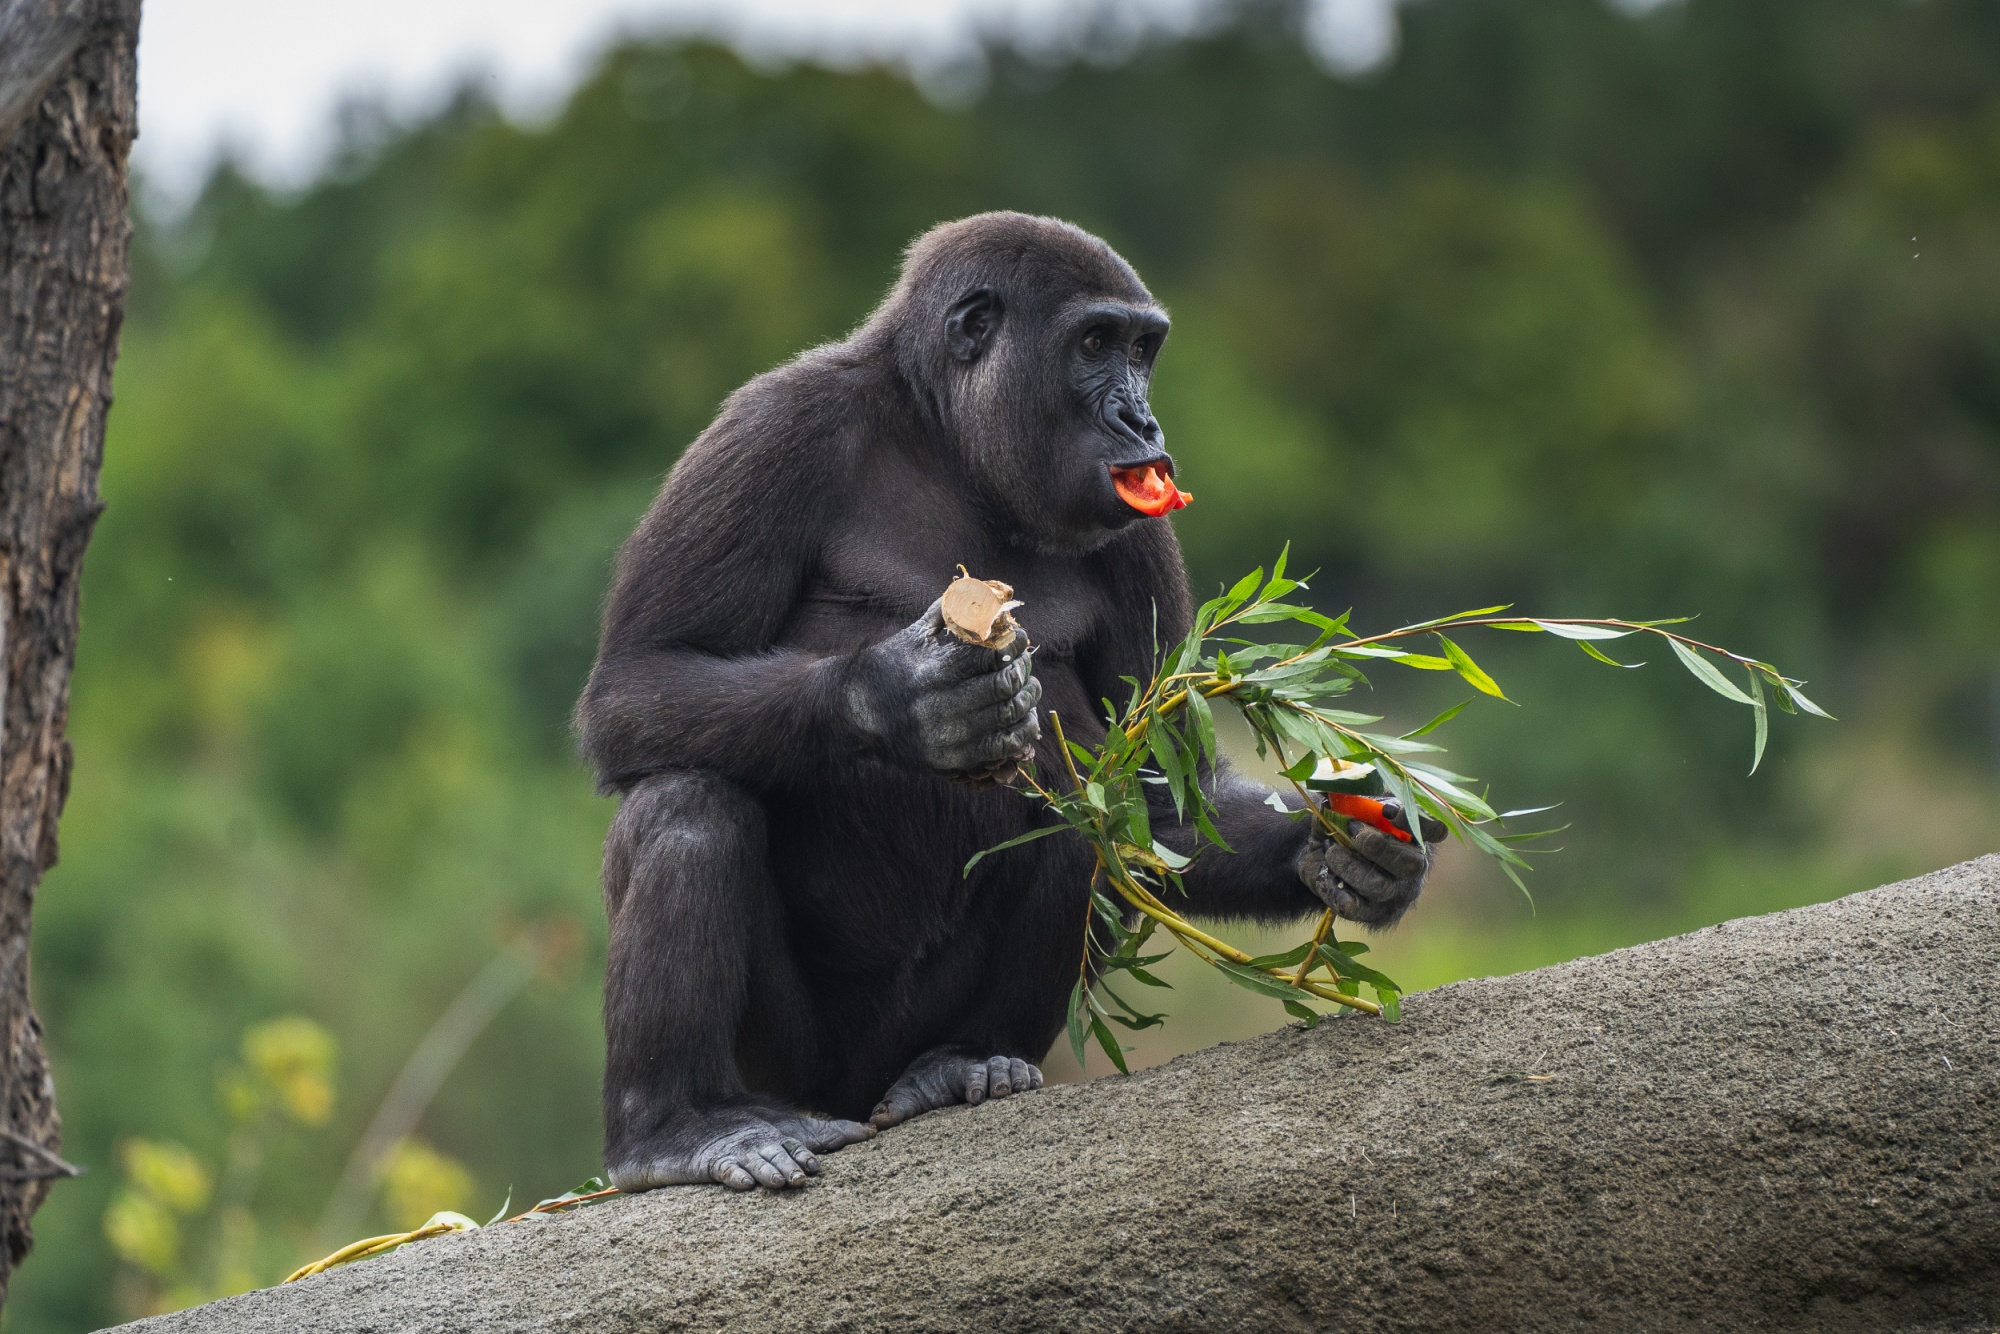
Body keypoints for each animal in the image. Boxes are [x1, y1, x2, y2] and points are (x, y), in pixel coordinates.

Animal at [572, 214, 1432, 1192]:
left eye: (1142, 351)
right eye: (1096, 344)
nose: (1141, 420)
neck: (941, 432)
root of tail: (857, 1099)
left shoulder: (1142, 528)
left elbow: (1171, 798)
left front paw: (1348, 854)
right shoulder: (775, 427)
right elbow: (641, 679)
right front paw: (899, 700)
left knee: (1085, 814)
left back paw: (966, 1061)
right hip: (793, 1073)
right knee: (688, 802)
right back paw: (674, 1127)